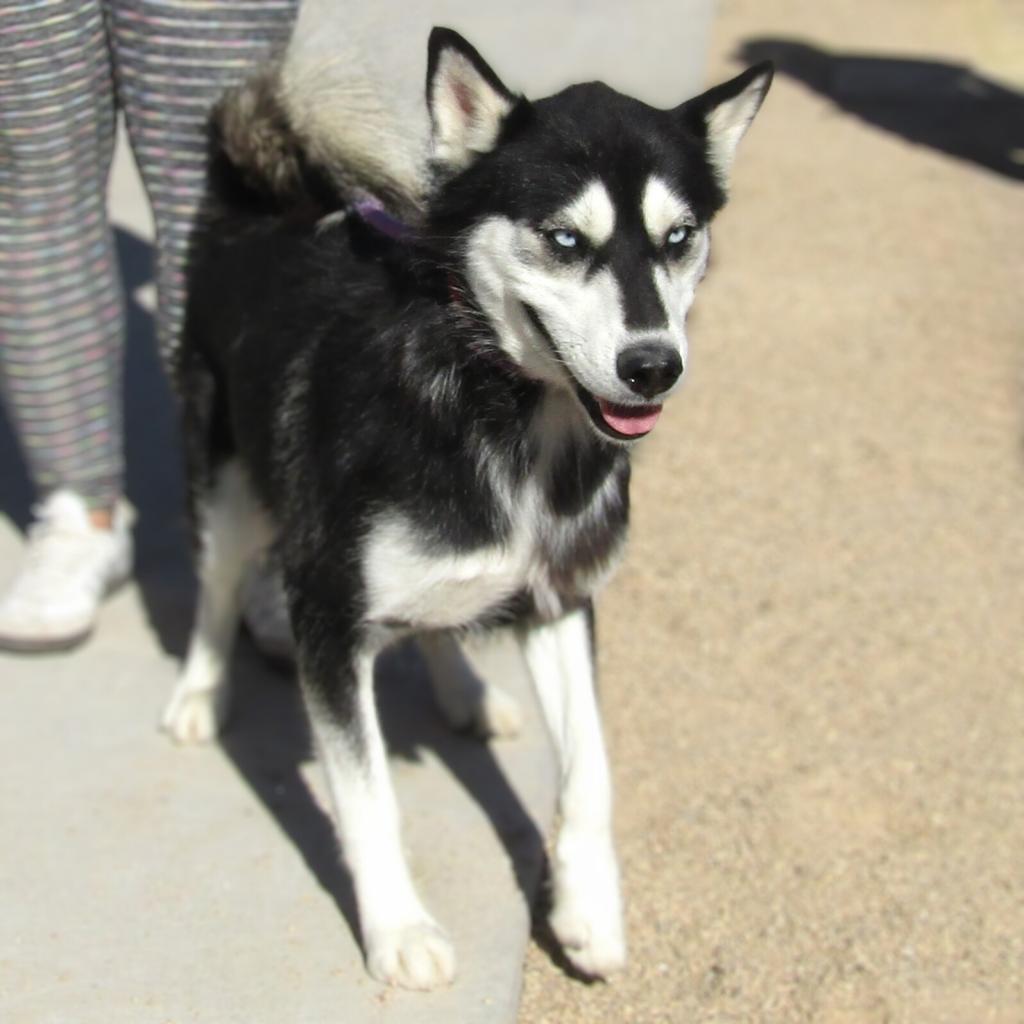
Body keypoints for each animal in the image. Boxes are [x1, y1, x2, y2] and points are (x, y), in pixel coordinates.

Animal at [161, 22, 770, 991]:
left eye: (679, 237)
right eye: (564, 239)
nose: (653, 366)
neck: (509, 415)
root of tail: (264, 195)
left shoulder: (561, 596)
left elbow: (591, 768)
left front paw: (589, 911)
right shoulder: (327, 616)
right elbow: (368, 796)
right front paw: (399, 929)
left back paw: (467, 693)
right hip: (225, 486)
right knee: (217, 590)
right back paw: (199, 692)